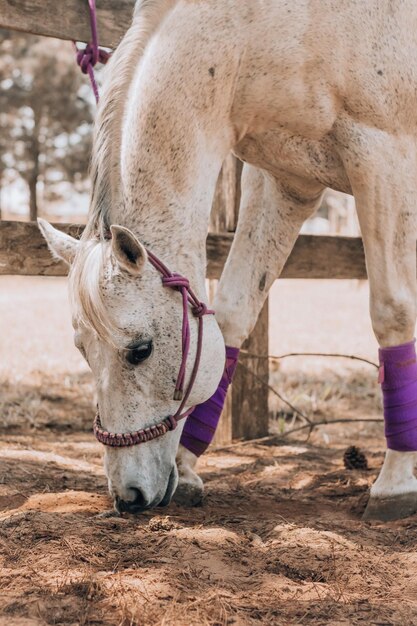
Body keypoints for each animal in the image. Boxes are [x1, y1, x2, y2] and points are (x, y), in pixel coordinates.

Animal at [39, 0, 416, 516]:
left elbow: (392, 312)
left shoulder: (382, 159)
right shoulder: (285, 182)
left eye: (141, 350)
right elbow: (234, 314)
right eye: (82, 349)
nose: (129, 497)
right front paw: (188, 469)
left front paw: (396, 483)